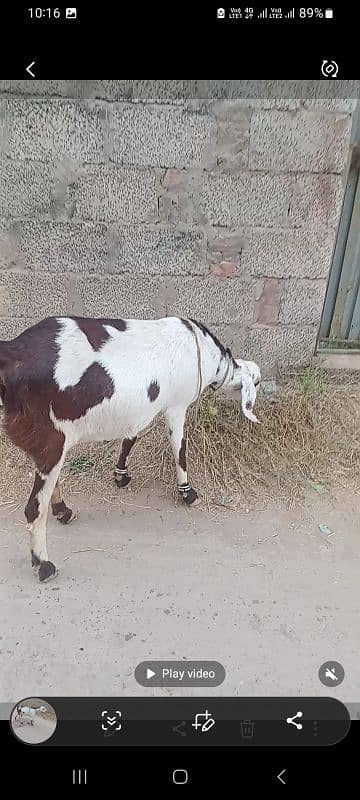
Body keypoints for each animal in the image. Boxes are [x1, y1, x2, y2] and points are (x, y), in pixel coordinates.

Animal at [0, 314, 260, 580]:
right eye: (258, 383)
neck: (208, 355)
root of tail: (13, 351)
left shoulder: (140, 410)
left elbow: (130, 438)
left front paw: (121, 476)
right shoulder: (177, 406)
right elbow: (179, 449)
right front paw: (188, 493)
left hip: (47, 441)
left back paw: (63, 510)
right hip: (52, 439)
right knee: (34, 509)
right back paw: (44, 564)